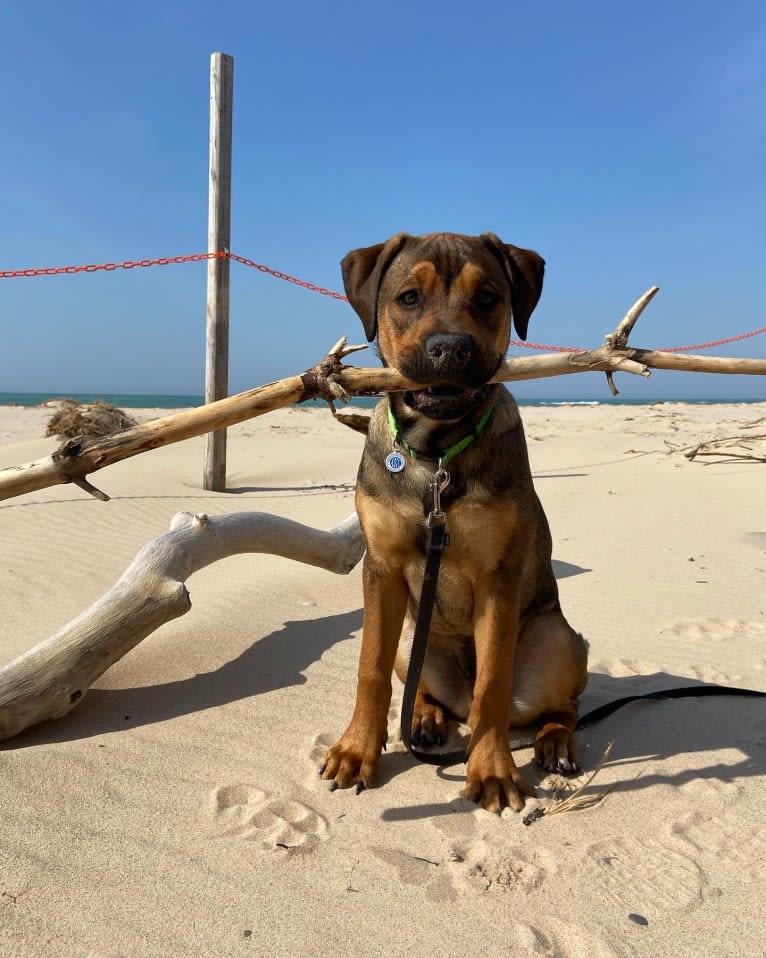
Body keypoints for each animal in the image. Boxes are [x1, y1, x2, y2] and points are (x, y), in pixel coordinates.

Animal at [320, 232, 592, 808]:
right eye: (408, 297)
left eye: (488, 297)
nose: (451, 348)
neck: (436, 454)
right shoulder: (380, 567)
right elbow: (370, 670)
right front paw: (357, 749)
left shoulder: (498, 578)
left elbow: (493, 684)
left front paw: (491, 770)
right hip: (411, 637)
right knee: (423, 686)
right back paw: (425, 715)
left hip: (556, 638)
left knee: (559, 705)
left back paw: (555, 741)